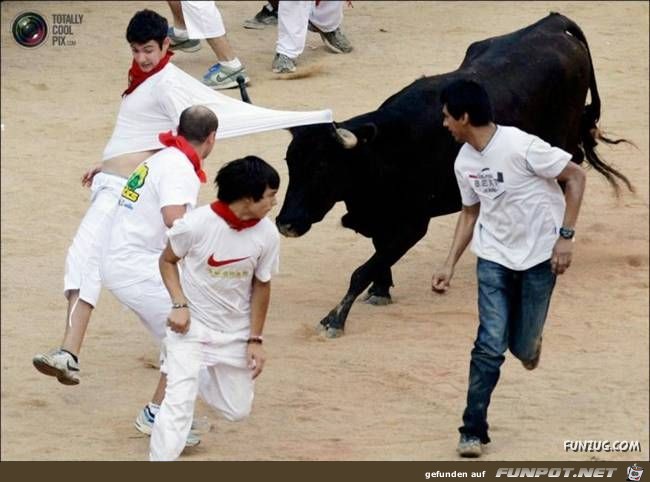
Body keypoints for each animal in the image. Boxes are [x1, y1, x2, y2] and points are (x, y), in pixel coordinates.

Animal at [272, 15, 628, 338]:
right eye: (290, 163)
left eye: (322, 166)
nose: (286, 223)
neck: (385, 150)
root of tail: (553, 22)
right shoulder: (382, 218)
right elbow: (378, 255)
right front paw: (381, 290)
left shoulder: (413, 224)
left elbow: (362, 270)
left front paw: (335, 318)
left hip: (561, 140)